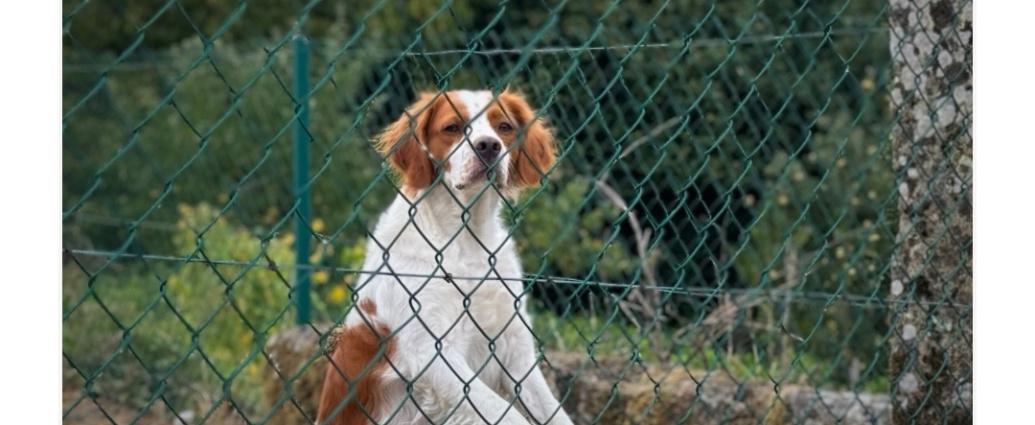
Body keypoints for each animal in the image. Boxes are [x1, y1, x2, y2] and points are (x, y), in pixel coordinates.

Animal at [314, 88, 575, 423]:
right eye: (452, 127)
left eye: (503, 127)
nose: (489, 146)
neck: (467, 238)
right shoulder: (432, 353)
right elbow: (509, 416)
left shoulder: (515, 350)